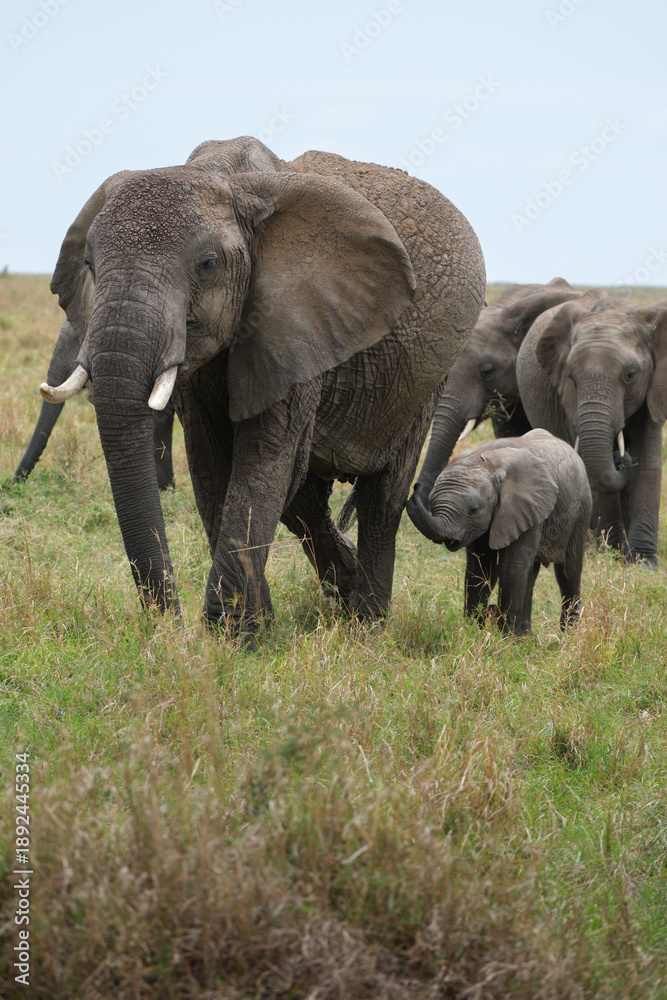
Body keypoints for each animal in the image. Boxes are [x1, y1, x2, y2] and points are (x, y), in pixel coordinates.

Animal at [42, 136, 485, 637]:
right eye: (88, 263)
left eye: (208, 264)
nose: (169, 621)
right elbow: (212, 463)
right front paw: (252, 625)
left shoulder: (296, 321)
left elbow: (262, 456)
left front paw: (230, 634)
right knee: (305, 498)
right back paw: (345, 586)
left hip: (428, 378)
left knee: (381, 499)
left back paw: (365, 625)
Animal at [406, 429, 592, 635]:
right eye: (431, 504)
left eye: (473, 510)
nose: (416, 486)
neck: (485, 463)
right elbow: (481, 568)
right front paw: (474, 630)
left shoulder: (525, 507)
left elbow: (511, 568)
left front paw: (503, 635)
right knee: (531, 574)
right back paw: (524, 636)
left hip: (581, 510)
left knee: (568, 572)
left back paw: (568, 635)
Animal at [515, 289, 667, 568]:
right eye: (571, 377)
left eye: (631, 375)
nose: (620, 458)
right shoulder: (569, 400)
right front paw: (614, 552)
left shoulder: (655, 387)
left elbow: (648, 462)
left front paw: (643, 563)